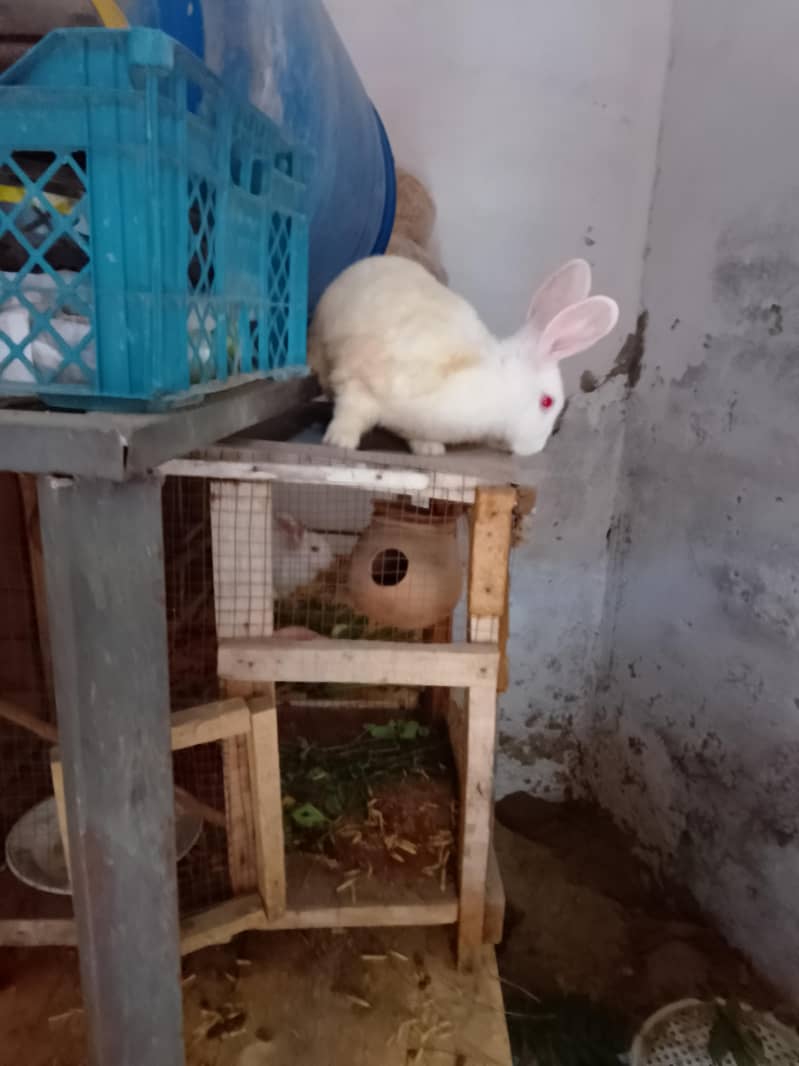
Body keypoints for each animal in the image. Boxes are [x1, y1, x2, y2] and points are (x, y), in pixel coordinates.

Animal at [308, 255, 619, 457]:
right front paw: (339, 441)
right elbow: (350, 410)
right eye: (547, 402)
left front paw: (430, 450)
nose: (535, 448)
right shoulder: (359, 380)